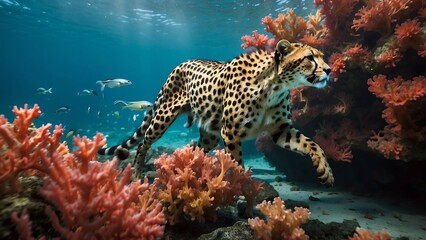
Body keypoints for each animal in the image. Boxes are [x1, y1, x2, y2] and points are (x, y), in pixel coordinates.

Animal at [98, 39, 334, 186]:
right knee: (143, 144)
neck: (275, 86)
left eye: (322, 56)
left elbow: (312, 143)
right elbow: (237, 163)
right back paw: (137, 173)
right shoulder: (230, 133)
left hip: (210, 135)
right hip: (163, 117)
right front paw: (242, 185)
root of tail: (181, 62)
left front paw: (325, 169)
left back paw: (189, 169)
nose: (329, 70)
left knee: (195, 148)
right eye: (310, 58)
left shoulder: (280, 130)